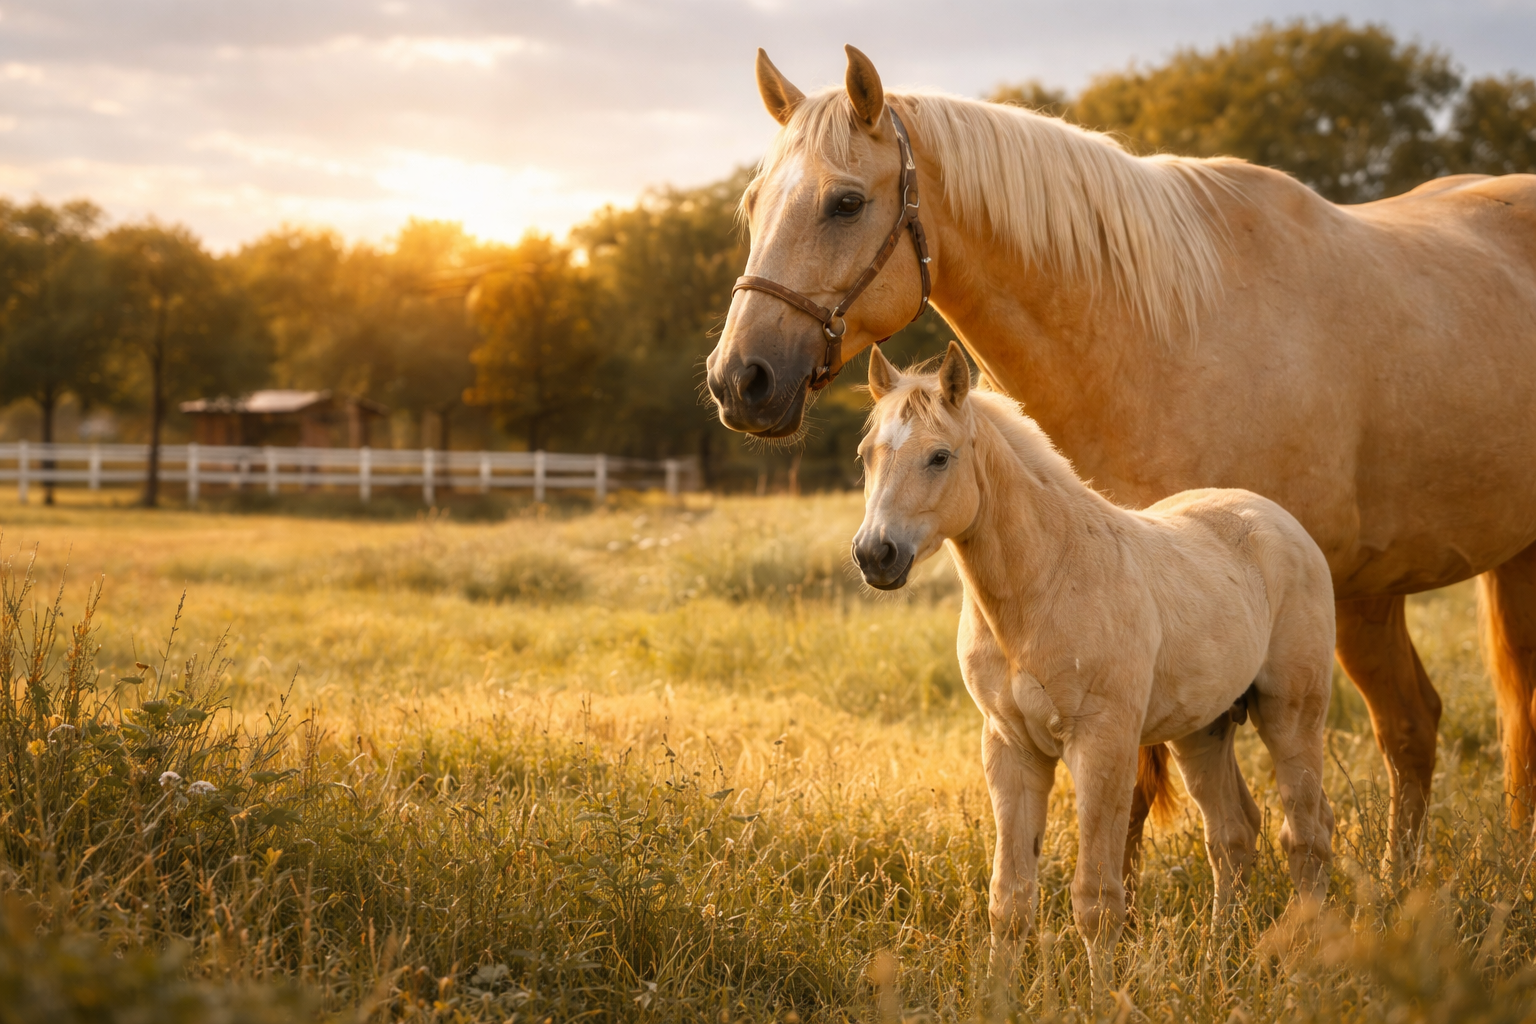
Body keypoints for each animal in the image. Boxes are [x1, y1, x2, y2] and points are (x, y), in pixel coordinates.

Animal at [705, 45, 1536, 864]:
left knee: (1426, 727)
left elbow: (1126, 802)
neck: (1160, 334)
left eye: (845, 203)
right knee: (1448, 722)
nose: (739, 378)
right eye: (752, 205)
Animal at [854, 341, 1335, 986]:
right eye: (867, 456)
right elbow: (1010, 898)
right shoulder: (1011, 749)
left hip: (1291, 714)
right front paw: (997, 994)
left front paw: (1104, 994)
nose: (875, 554)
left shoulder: (1101, 745)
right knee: (1232, 836)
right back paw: (1219, 957)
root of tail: (1281, 521)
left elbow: (1097, 899)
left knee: (1305, 834)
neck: (1046, 583)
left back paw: (1307, 960)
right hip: (1203, 730)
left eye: (939, 457)